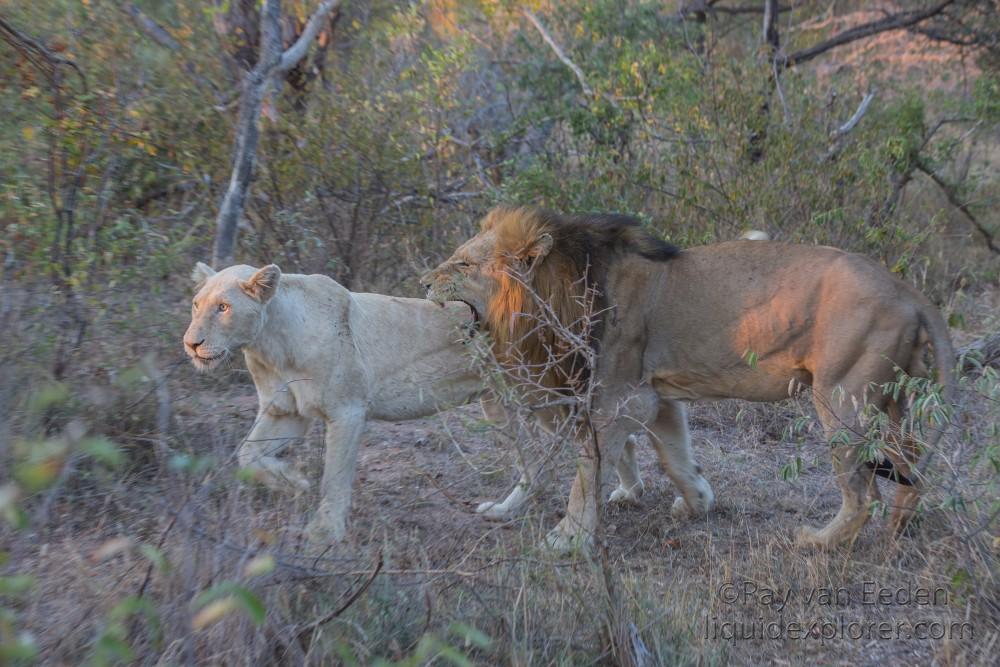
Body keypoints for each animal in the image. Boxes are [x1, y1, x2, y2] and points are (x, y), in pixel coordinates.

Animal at [183, 260, 644, 544]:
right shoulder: (287, 412)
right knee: (545, 465)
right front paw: (293, 481)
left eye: (223, 307)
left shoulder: (347, 412)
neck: (268, 343)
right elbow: (247, 456)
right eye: (196, 305)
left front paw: (324, 531)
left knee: (606, 433)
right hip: (498, 405)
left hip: (546, 397)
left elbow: (335, 478)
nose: (191, 344)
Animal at [422, 206, 952, 552]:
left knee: (862, 494)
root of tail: (909, 291)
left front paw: (566, 539)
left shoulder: (618, 399)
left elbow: (585, 476)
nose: (423, 282)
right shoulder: (656, 397)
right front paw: (696, 502)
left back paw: (816, 542)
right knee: (912, 471)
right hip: (893, 402)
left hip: (842, 398)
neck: (558, 292)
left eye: (463, 264)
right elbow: (675, 457)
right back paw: (898, 533)